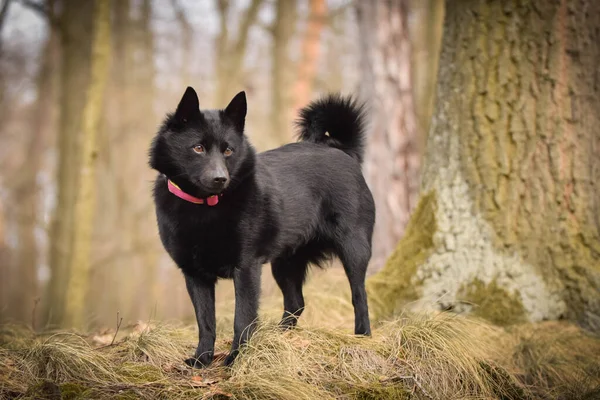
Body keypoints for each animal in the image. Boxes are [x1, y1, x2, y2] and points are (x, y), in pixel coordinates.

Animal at [150, 88, 376, 368]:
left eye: (228, 151)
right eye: (198, 148)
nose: (220, 179)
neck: (205, 207)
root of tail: (341, 151)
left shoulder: (246, 268)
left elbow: (242, 318)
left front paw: (237, 358)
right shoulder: (194, 275)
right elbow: (205, 322)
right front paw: (202, 359)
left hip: (354, 250)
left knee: (359, 297)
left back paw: (362, 336)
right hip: (285, 263)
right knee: (296, 303)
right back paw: (279, 338)